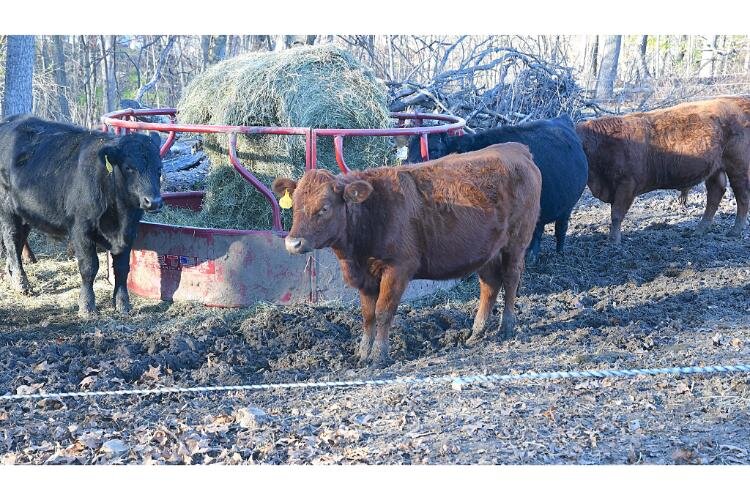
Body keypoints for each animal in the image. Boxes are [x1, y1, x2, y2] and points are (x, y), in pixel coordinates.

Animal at [0, 114, 163, 314]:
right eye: (129, 167)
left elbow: (122, 267)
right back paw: (21, 284)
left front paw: (123, 304)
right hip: (8, 211)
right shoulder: (81, 230)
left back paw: (12, 276)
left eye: (159, 168)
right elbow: (89, 266)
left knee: (18, 241)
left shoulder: (129, 231)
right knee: (12, 240)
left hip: (25, 214)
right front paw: (87, 306)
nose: (153, 201)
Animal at [274, 143, 544, 366]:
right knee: (490, 285)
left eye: (324, 208)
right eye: (295, 205)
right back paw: (476, 333)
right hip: (487, 250)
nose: (293, 243)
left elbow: (383, 312)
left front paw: (379, 356)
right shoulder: (366, 277)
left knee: (510, 280)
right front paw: (362, 354)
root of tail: (516, 148)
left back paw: (506, 327)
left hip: (516, 243)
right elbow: (368, 316)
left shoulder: (398, 268)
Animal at [408, 115, 592, 260]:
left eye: (435, 150)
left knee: (560, 227)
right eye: (408, 152)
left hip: (566, 206)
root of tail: (561, 120)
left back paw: (555, 252)